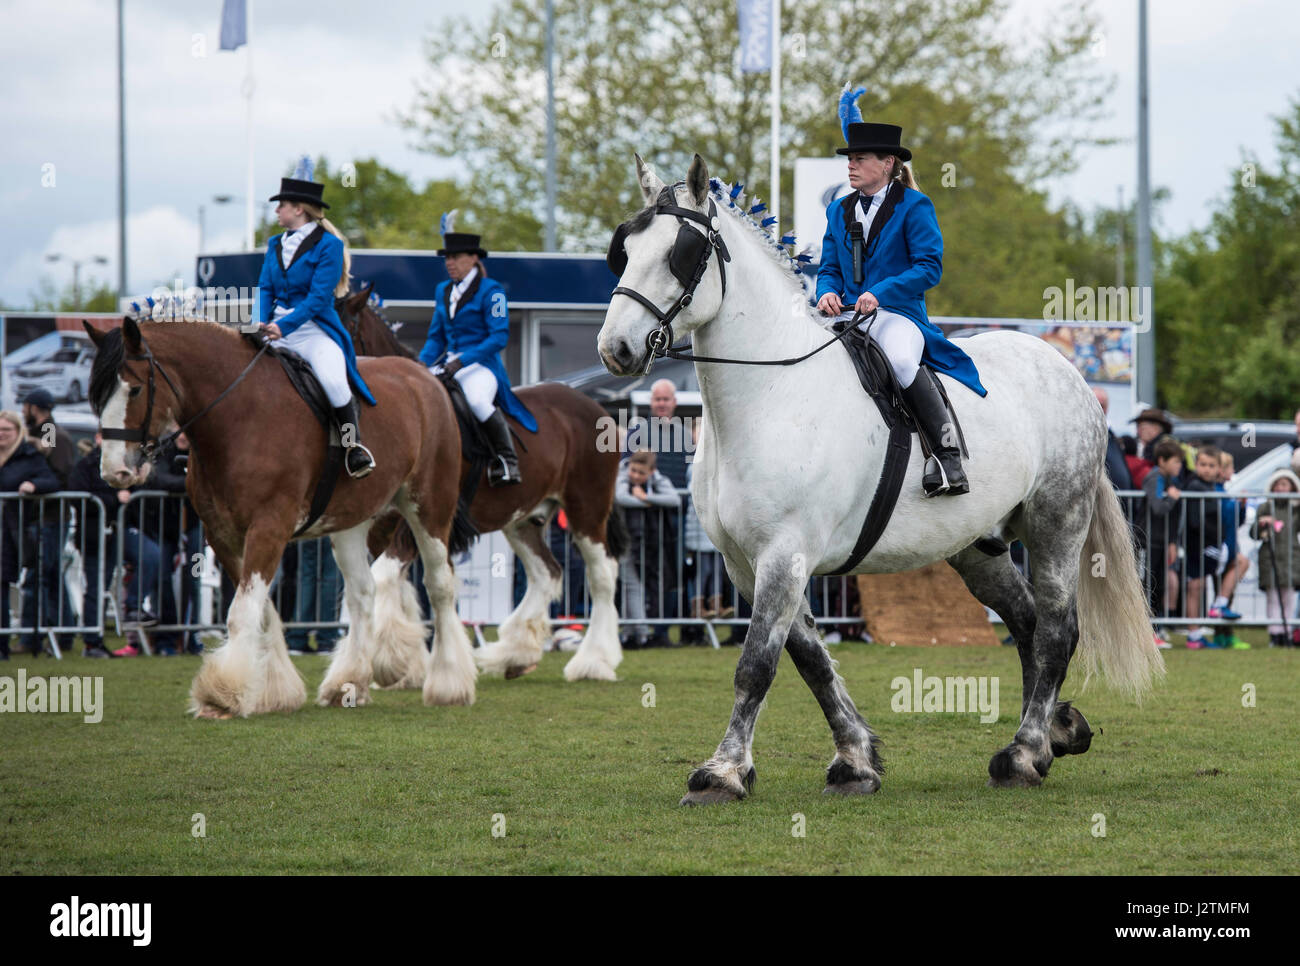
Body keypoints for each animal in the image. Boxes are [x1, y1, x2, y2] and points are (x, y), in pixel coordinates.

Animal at [89, 313, 480, 712]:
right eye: (96, 395)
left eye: (135, 390)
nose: (114, 472)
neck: (239, 416)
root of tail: (425, 378)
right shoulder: (223, 535)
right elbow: (259, 611)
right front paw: (272, 690)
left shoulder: (269, 528)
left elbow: (242, 612)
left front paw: (222, 693)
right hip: (350, 523)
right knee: (362, 592)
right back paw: (348, 683)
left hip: (430, 508)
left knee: (439, 585)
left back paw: (449, 683)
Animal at [335, 287, 629, 686]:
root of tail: (596, 409)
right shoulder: (383, 523)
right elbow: (395, 588)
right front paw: (405, 664)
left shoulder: (420, 520)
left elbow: (384, 580)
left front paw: (392, 663)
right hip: (524, 521)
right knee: (547, 573)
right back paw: (514, 654)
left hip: (587, 510)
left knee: (602, 577)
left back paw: (593, 661)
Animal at [595, 156, 1164, 800]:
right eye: (625, 248)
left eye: (682, 252)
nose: (616, 349)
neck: (772, 391)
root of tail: (1066, 370)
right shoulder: (746, 564)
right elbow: (811, 661)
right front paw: (856, 760)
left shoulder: (785, 554)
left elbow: (757, 664)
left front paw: (722, 772)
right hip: (978, 546)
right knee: (1025, 622)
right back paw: (1054, 733)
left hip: (1056, 523)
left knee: (1056, 631)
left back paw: (1024, 753)